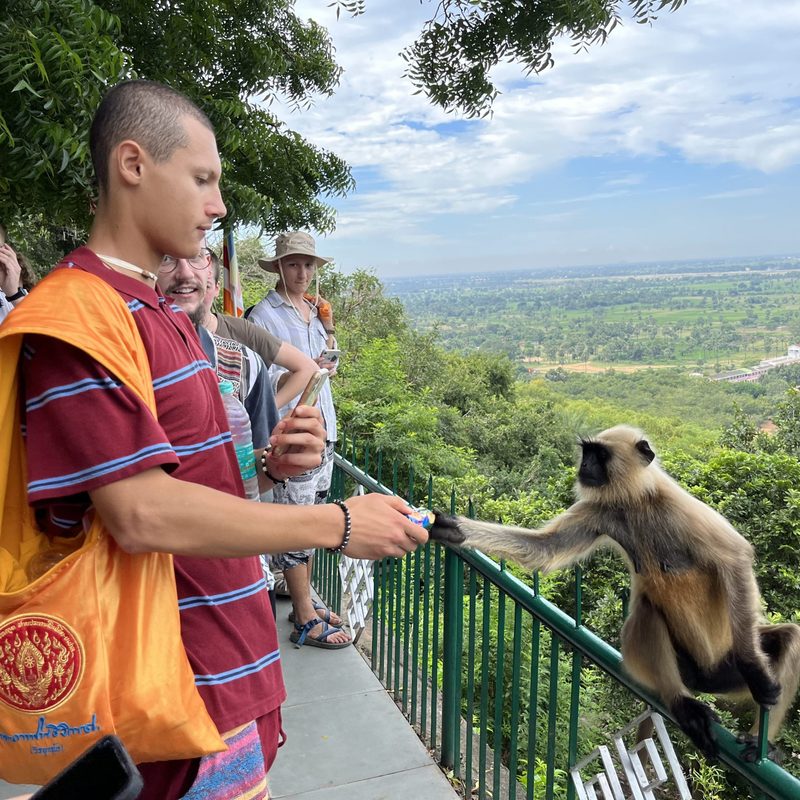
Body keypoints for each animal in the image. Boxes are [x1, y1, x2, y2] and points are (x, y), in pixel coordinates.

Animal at [432, 424, 800, 764]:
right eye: (587, 452)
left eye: (599, 455)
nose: (584, 466)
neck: (636, 501)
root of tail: (702, 679)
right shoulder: (601, 510)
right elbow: (544, 549)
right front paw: (453, 529)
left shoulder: (678, 506)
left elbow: (735, 556)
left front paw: (754, 669)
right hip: (686, 668)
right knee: (648, 611)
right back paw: (681, 702)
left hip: (724, 667)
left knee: (788, 637)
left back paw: (758, 738)